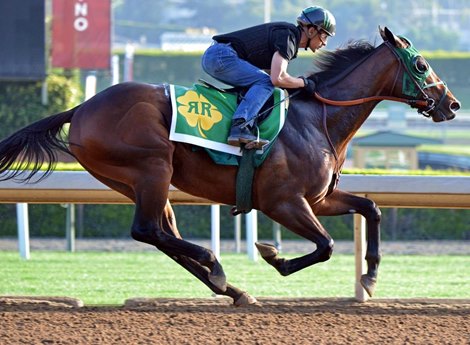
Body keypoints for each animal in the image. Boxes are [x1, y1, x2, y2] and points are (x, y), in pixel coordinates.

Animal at [0, 28, 458, 306]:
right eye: (421, 65)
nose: (451, 104)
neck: (318, 119)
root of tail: (81, 108)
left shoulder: (319, 199)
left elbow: (371, 208)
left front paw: (371, 277)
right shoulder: (283, 201)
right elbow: (326, 246)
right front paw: (273, 255)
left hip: (137, 182)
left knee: (164, 236)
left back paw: (234, 289)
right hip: (151, 169)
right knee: (147, 231)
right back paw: (217, 266)